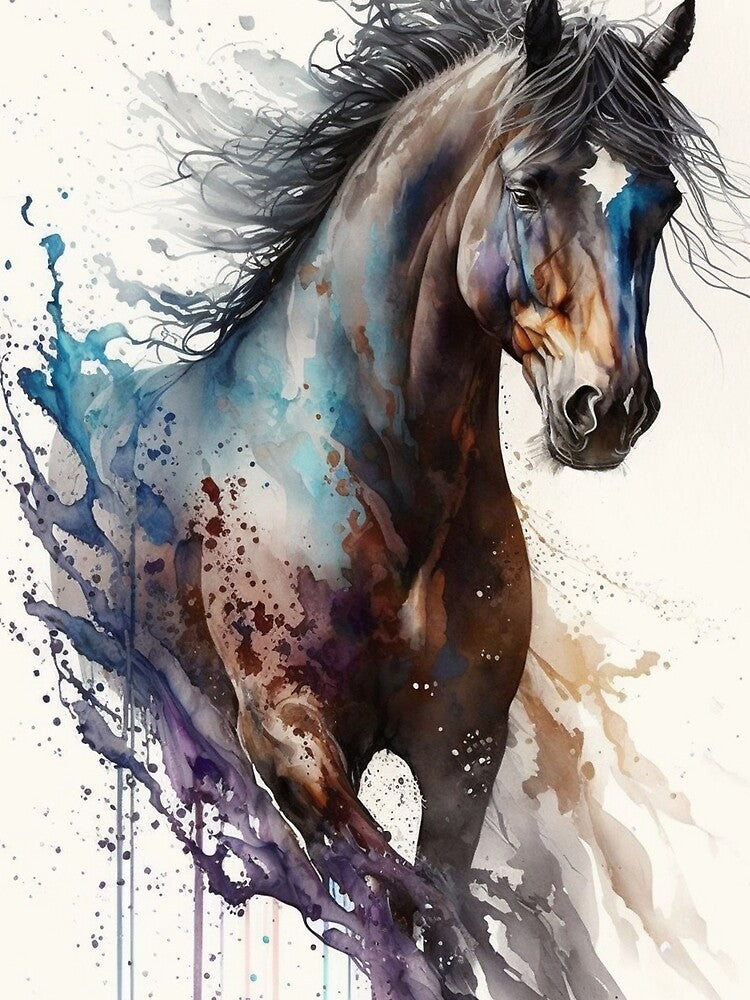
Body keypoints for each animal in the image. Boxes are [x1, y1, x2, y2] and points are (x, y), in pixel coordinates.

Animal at [18, 0, 747, 997]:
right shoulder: (294, 740)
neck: (377, 474)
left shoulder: (461, 755)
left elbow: (434, 912)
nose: (608, 409)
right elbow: (395, 908)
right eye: (527, 188)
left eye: (663, 198)